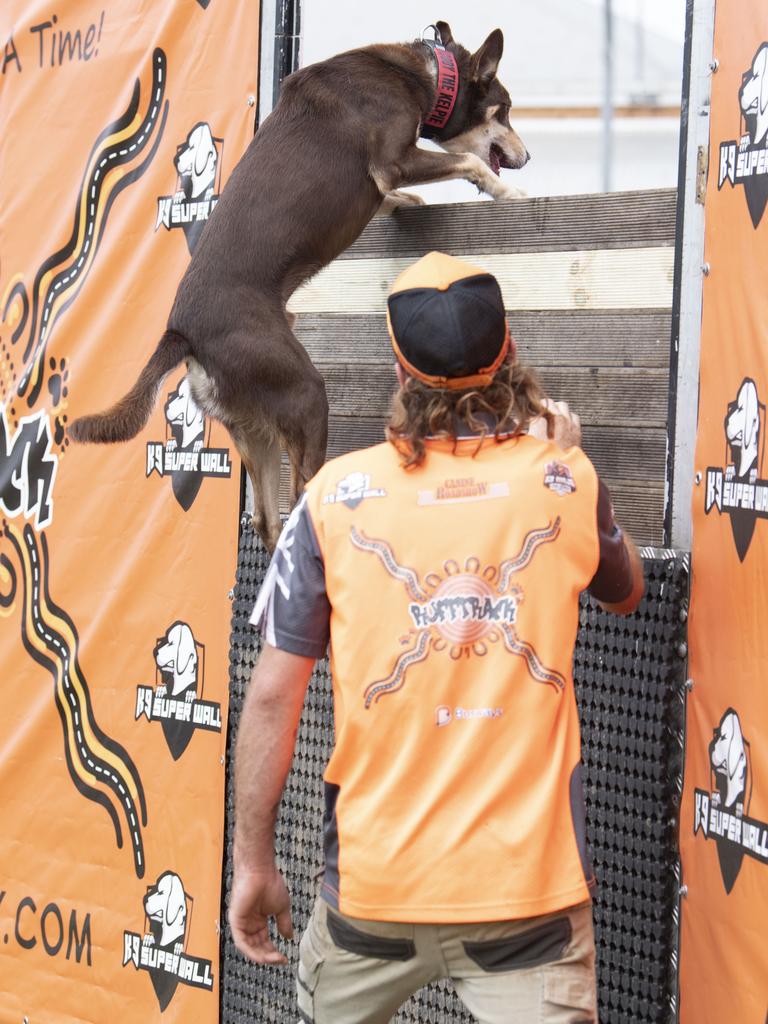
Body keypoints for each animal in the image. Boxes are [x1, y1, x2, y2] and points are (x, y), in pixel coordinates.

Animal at [70, 22, 528, 552]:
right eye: (505, 109)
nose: (527, 156)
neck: (428, 74)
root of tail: (182, 332)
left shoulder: (387, 179)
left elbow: (403, 195)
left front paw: (414, 200)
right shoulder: (394, 159)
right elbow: (467, 163)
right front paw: (509, 191)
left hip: (253, 430)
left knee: (267, 520)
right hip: (304, 395)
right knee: (299, 499)